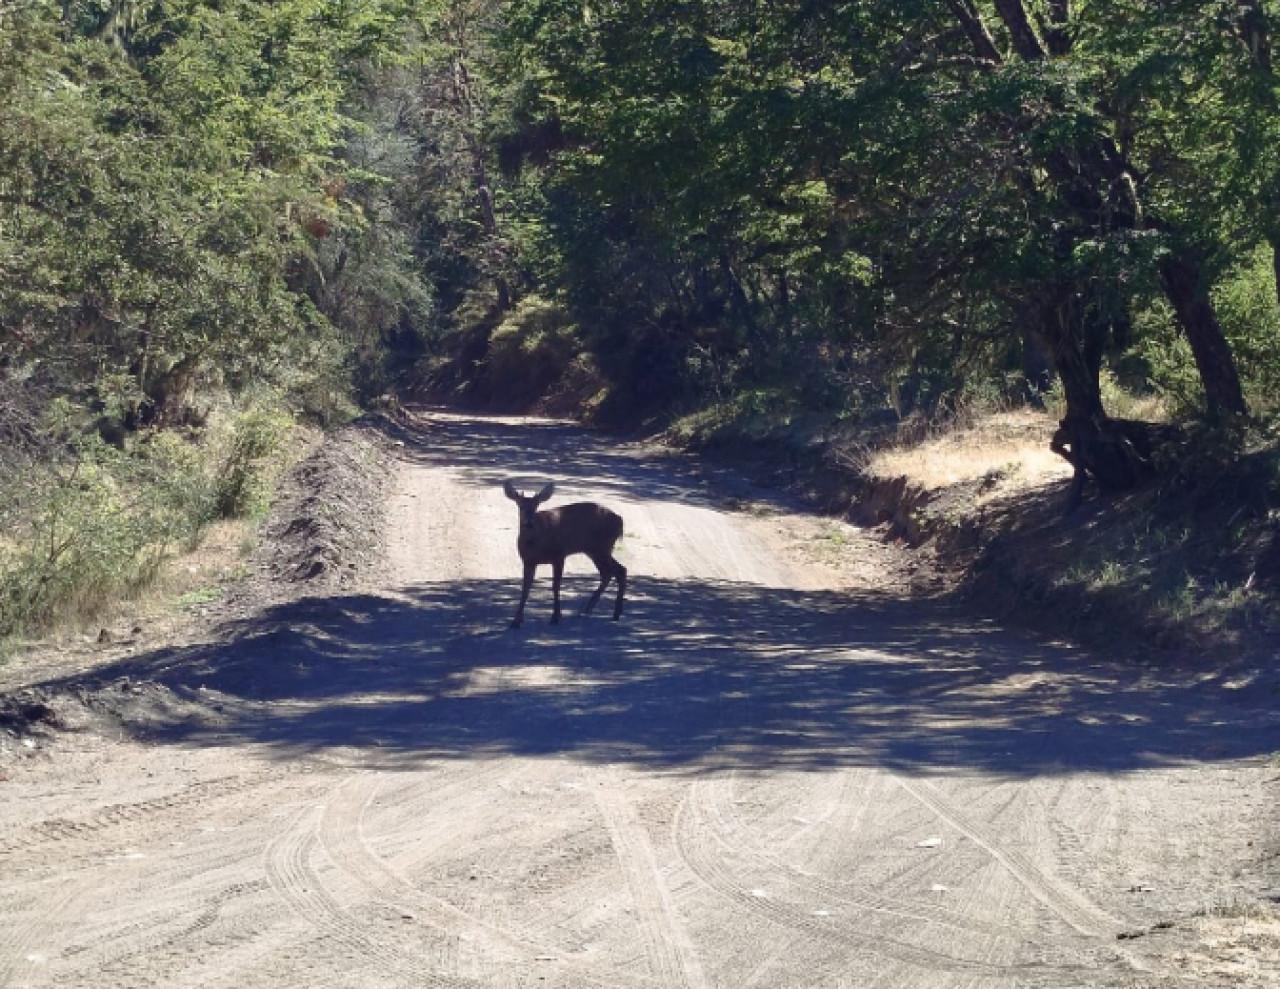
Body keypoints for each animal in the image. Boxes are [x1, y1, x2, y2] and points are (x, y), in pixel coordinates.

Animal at [506, 478, 632, 624]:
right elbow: (525, 589)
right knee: (611, 572)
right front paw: (516, 621)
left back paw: (614, 612)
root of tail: (619, 519)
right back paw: (592, 609)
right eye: (520, 506)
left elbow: (555, 586)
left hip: (602, 547)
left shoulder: (559, 555)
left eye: (536, 506)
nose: (528, 522)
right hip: (595, 549)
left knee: (618, 570)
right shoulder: (528, 561)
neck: (535, 543)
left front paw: (556, 616)